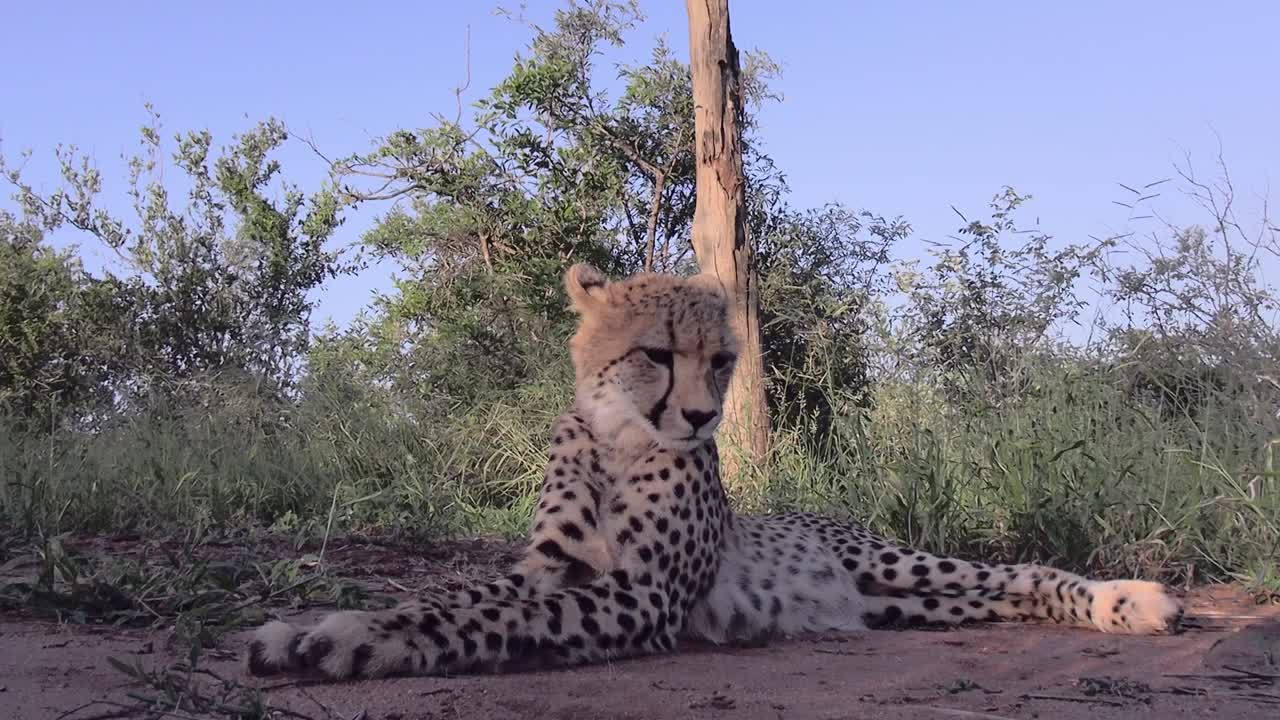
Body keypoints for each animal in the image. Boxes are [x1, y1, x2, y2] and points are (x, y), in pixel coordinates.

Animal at [245, 263, 1184, 681]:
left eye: (723, 360)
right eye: (657, 355)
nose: (700, 418)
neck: (618, 440)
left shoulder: (644, 596)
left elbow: (482, 619)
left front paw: (359, 641)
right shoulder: (551, 567)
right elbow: (457, 595)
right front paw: (311, 627)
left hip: (895, 561)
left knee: (1019, 571)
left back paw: (1132, 601)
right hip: (905, 603)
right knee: (997, 594)